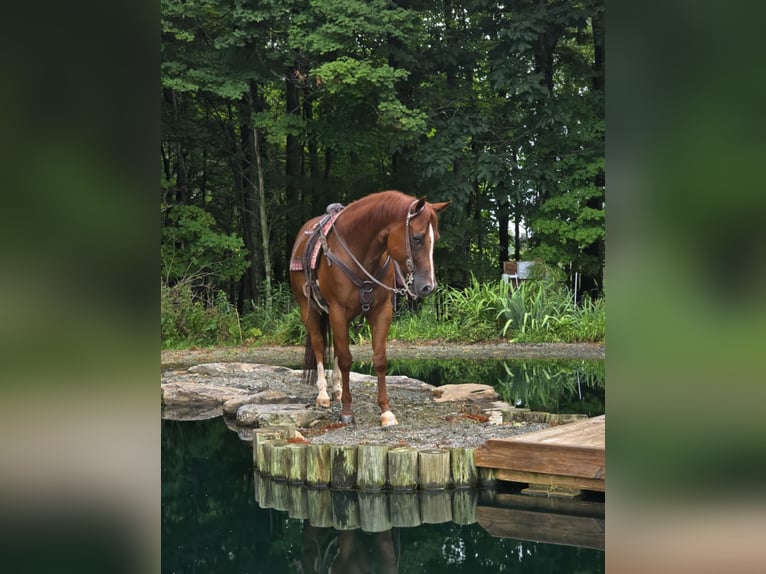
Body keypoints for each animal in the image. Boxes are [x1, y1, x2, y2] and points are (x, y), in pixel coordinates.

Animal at [289, 190, 450, 426]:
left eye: (435, 239)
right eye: (417, 238)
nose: (428, 287)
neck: (359, 251)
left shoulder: (381, 312)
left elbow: (379, 360)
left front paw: (386, 412)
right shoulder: (337, 310)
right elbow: (346, 359)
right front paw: (347, 411)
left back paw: (337, 389)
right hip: (308, 308)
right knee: (319, 345)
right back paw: (324, 394)